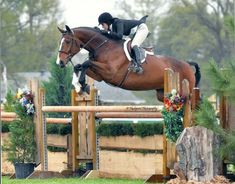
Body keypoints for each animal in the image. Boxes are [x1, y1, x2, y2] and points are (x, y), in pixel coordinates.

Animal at [55, 25, 200, 101]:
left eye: (67, 41)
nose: (60, 62)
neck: (104, 46)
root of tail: (187, 64)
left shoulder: (110, 72)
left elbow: (85, 63)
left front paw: (83, 84)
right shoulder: (99, 75)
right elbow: (79, 66)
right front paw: (79, 87)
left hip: (184, 92)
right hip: (162, 93)